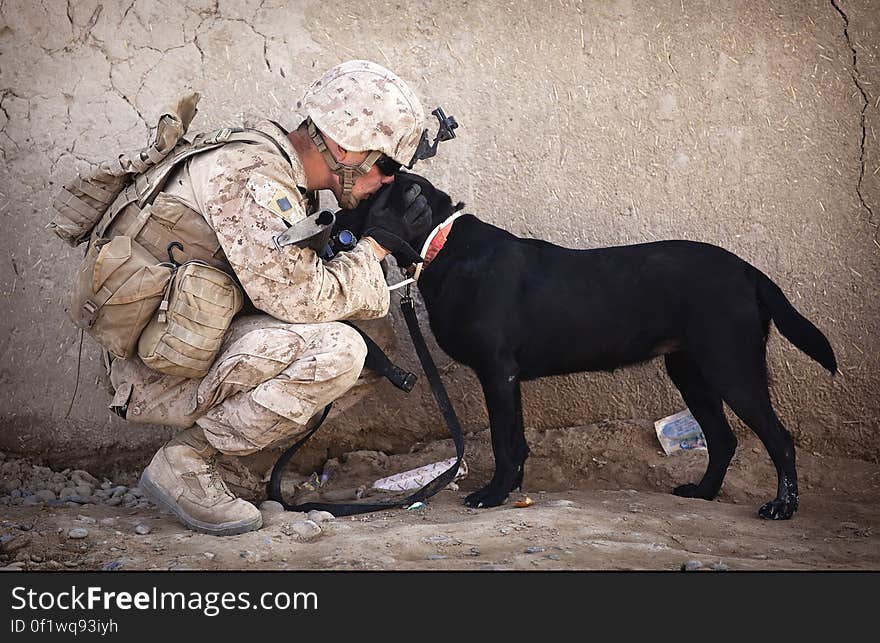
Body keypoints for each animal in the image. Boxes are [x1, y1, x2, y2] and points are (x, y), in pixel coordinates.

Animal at [336, 171, 832, 520]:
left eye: (364, 200)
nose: (327, 217)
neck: (443, 244)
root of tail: (749, 270)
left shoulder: (497, 371)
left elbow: (501, 440)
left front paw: (493, 494)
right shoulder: (508, 377)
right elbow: (516, 440)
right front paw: (512, 490)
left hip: (731, 367)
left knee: (778, 439)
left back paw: (782, 507)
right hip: (690, 371)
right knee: (724, 439)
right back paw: (704, 493)